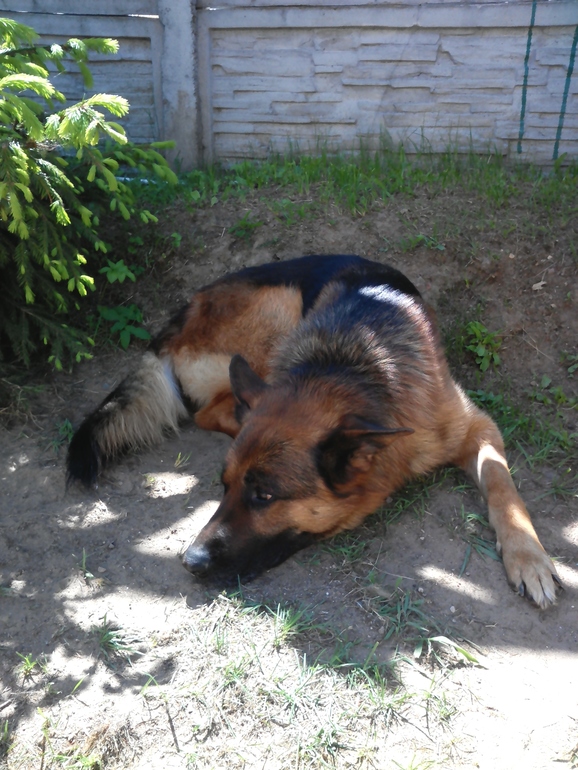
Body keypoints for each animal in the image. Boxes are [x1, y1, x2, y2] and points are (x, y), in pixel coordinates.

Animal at [67, 254, 560, 607]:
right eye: (223, 487)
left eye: (264, 496)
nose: (190, 561)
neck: (348, 368)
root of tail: (178, 319)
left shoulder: (477, 428)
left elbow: (501, 484)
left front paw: (529, 558)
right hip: (279, 312)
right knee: (210, 411)